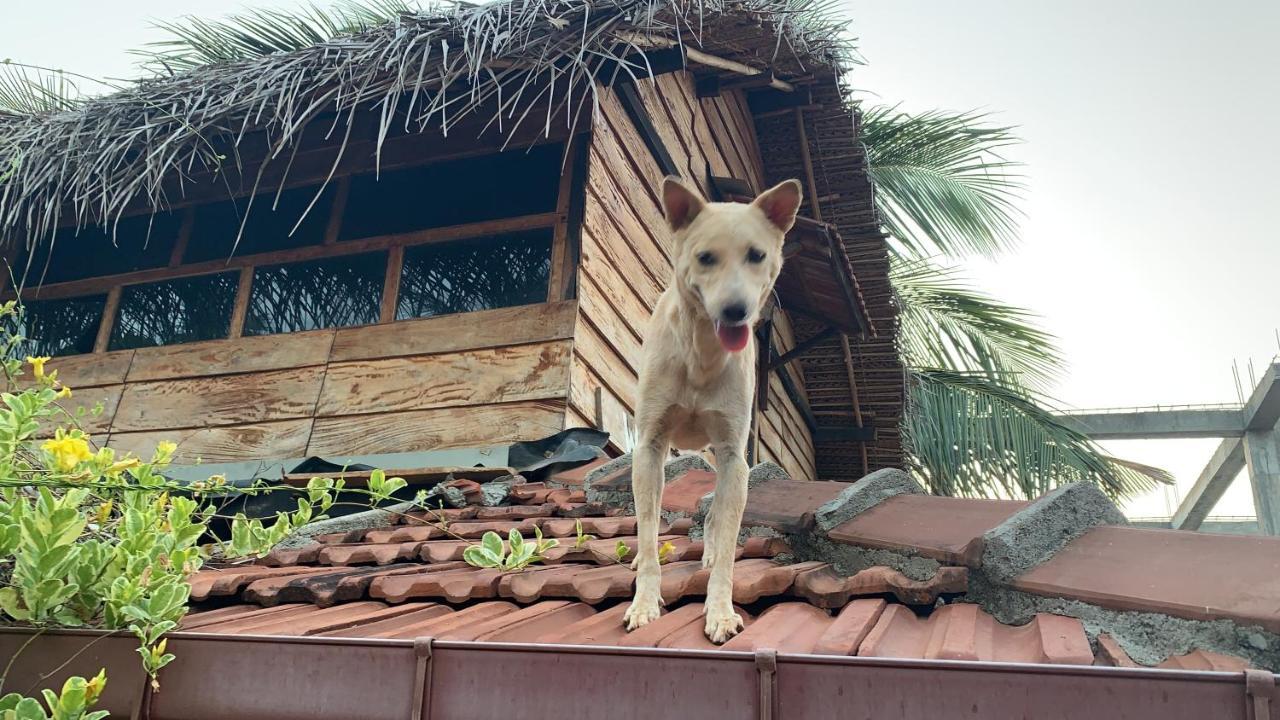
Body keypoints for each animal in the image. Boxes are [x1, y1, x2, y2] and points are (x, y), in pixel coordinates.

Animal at [619, 175, 798, 645]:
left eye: (756, 255)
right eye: (705, 258)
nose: (736, 311)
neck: (700, 354)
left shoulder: (735, 455)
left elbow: (728, 541)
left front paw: (719, 610)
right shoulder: (650, 446)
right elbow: (648, 532)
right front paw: (644, 603)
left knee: (718, 515)